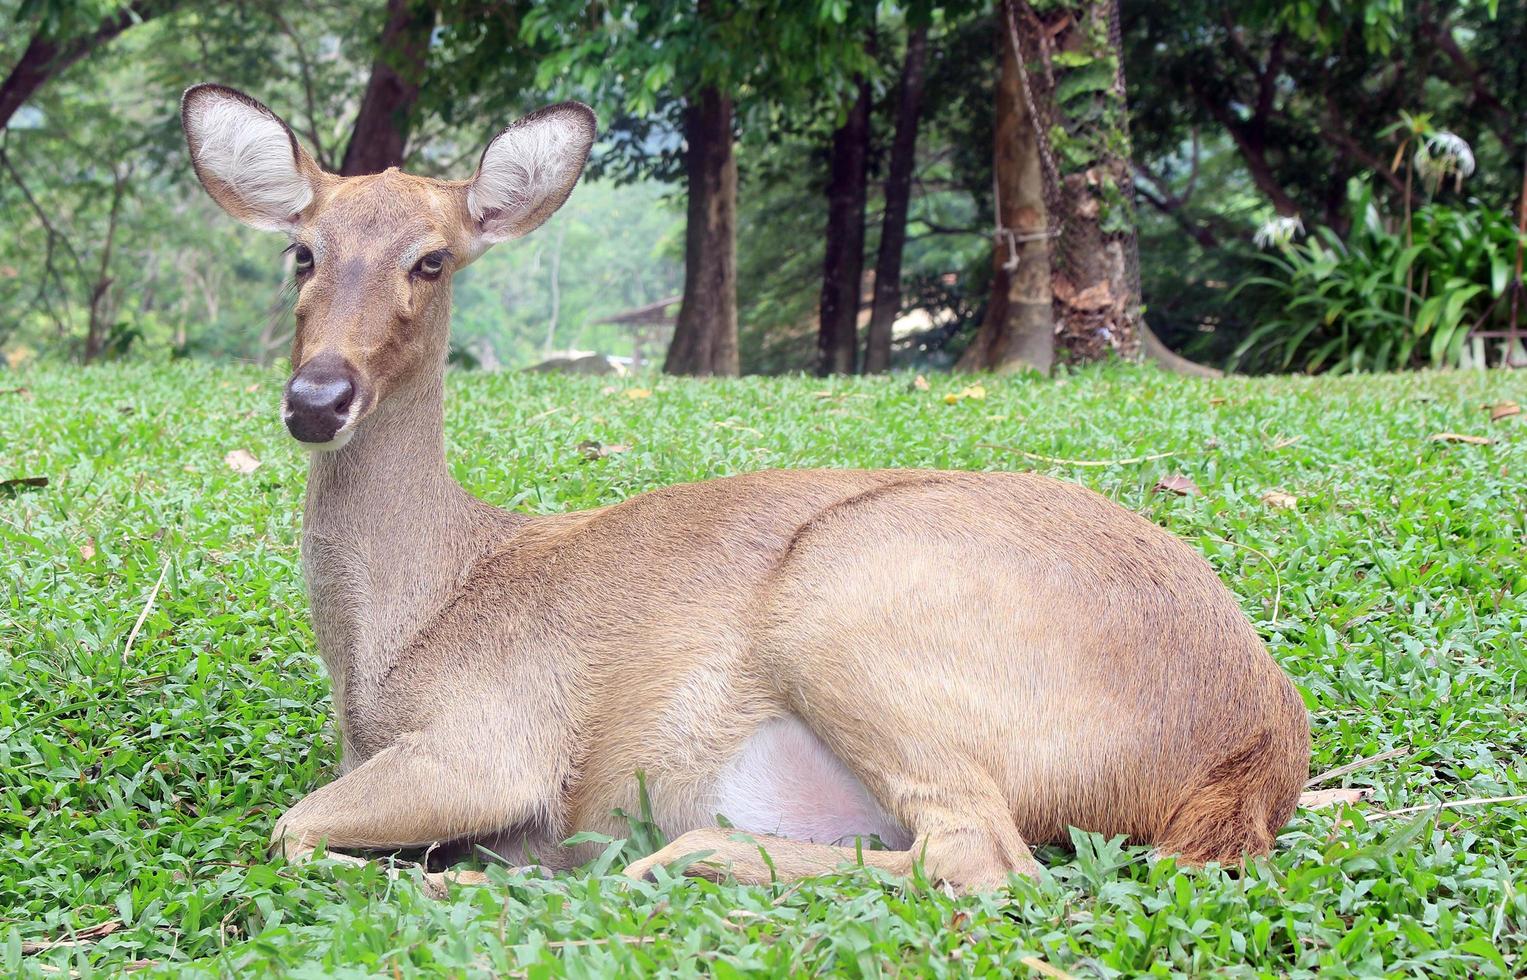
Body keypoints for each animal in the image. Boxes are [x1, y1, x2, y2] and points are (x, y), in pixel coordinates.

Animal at [178, 83, 1313, 891]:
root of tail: (1256, 746)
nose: (317, 396)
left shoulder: (495, 736)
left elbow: (293, 826)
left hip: (856, 607)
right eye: (301, 252)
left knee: (980, 856)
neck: (408, 629)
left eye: (430, 261)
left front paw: (445, 876)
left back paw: (646, 864)